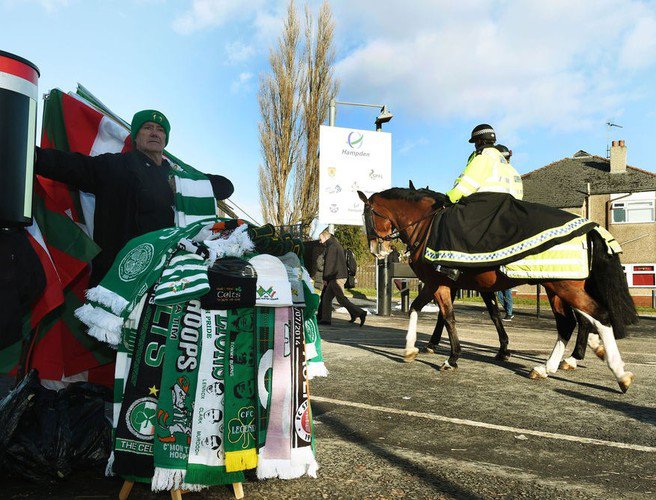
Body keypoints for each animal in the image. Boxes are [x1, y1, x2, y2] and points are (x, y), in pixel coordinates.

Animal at [362, 188, 640, 394]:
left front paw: (451, 357)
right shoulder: (441, 284)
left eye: (367, 216)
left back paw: (617, 372)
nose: (377, 249)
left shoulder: (438, 282)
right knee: (571, 323)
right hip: (557, 286)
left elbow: (448, 317)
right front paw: (411, 349)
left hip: (563, 285)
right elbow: (417, 308)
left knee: (595, 317)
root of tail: (589, 227)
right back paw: (551, 366)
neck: (427, 226)